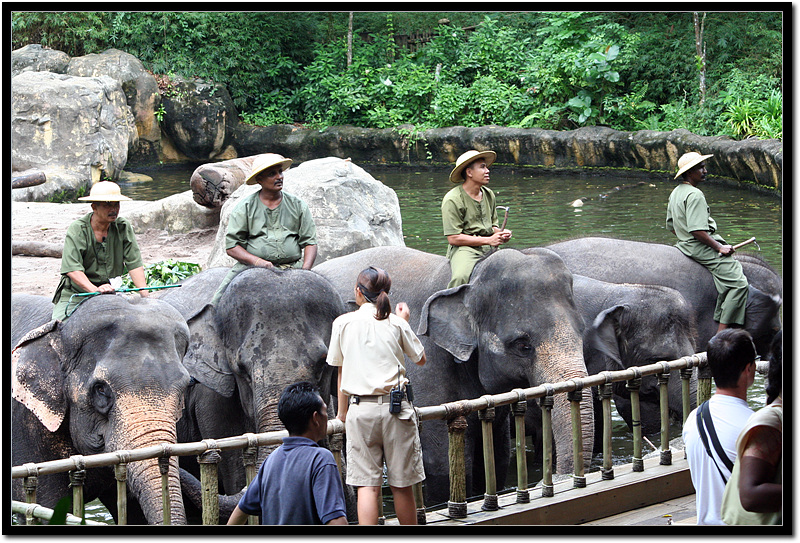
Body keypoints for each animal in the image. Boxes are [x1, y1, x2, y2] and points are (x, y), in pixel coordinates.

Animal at [312, 245, 592, 506]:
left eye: (582, 330)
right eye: (523, 345)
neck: (472, 277)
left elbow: (496, 456)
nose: (562, 478)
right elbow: (442, 463)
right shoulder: (428, 367)